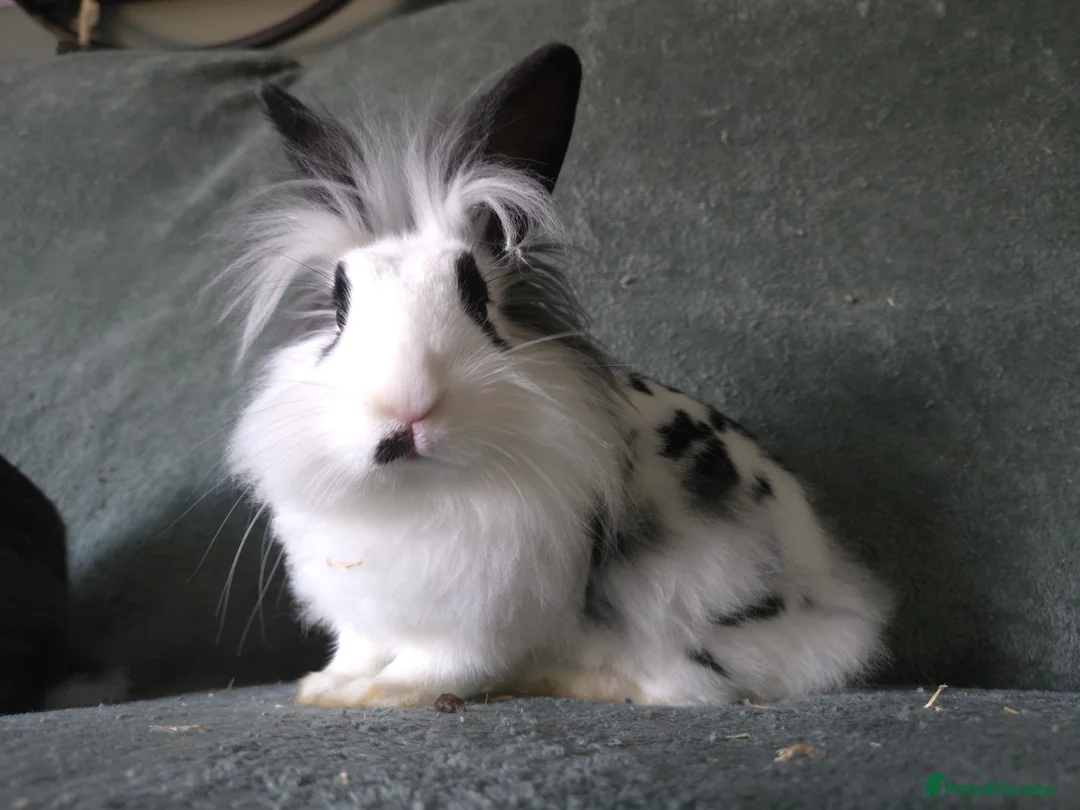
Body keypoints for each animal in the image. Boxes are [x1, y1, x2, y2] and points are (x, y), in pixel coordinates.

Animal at [221, 42, 891, 708]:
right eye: (339, 307)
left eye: (479, 299)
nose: (406, 404)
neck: (417, 493)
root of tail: (842, 603)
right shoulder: (361, 606)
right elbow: (357, 646)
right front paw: (327, 688)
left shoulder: (482, 612)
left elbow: (442, 662)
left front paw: (388, 692)